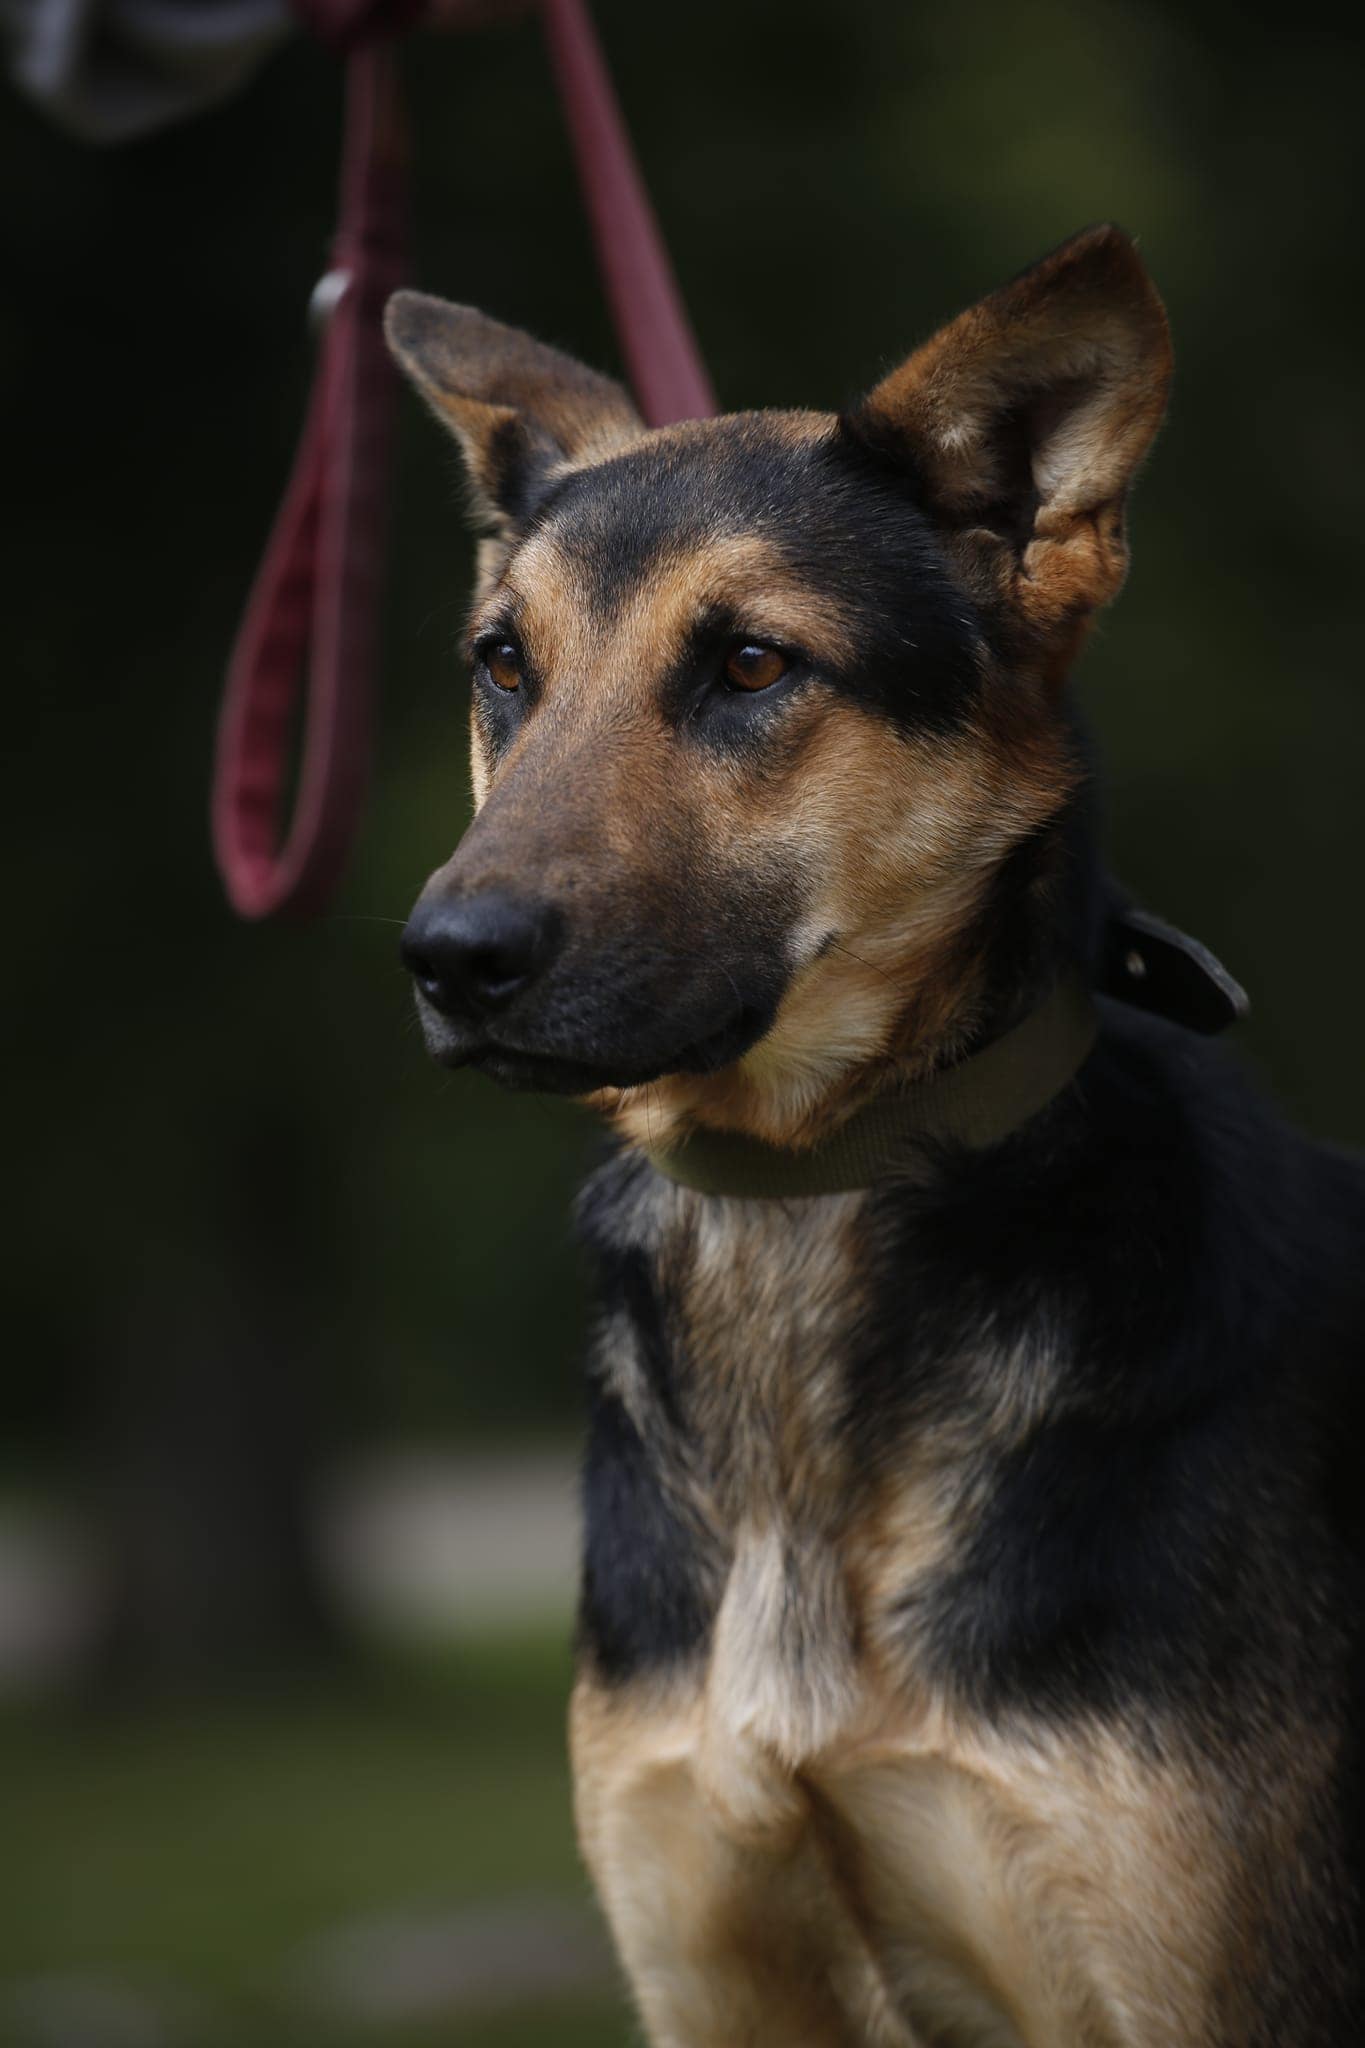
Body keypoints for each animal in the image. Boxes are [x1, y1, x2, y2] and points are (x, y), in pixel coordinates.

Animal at [385, 225, 1365, 2046]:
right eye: (504, 664)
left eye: (752, 665)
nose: (449, 959)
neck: (799, 1194)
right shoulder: (714, 1967)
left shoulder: (1200, 1981)